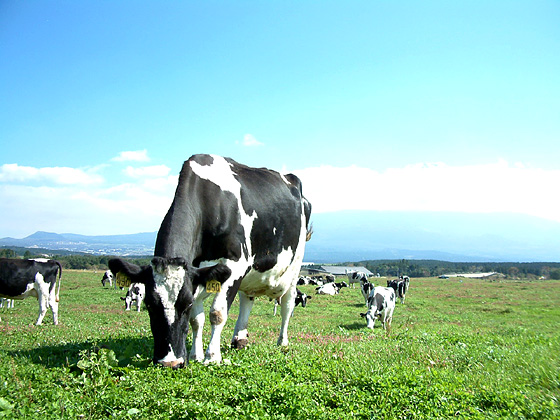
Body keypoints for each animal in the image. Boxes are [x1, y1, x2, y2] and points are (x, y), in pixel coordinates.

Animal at [107, 155, 312, 368]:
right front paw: (195, 355)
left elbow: (217, 314)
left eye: (185, 305)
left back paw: (282, 341)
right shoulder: (197, 274)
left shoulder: (234, 265)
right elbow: (197, 320)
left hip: (294, 268)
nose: (170, 362)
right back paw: (240, 339)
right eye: (148, 304)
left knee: (288, 304)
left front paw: (212, 356)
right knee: (247, 299)